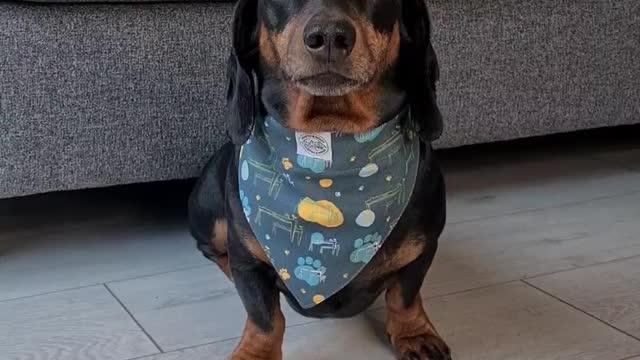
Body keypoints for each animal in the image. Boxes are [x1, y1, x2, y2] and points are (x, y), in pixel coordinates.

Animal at [190, 1, 450, 358]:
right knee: (214, 251)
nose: (328, 36)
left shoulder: (423, 249)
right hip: (212, 219)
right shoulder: (247, 261)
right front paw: (255, 352)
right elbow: (265, 317)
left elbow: (404, 296)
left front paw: (415, 333)